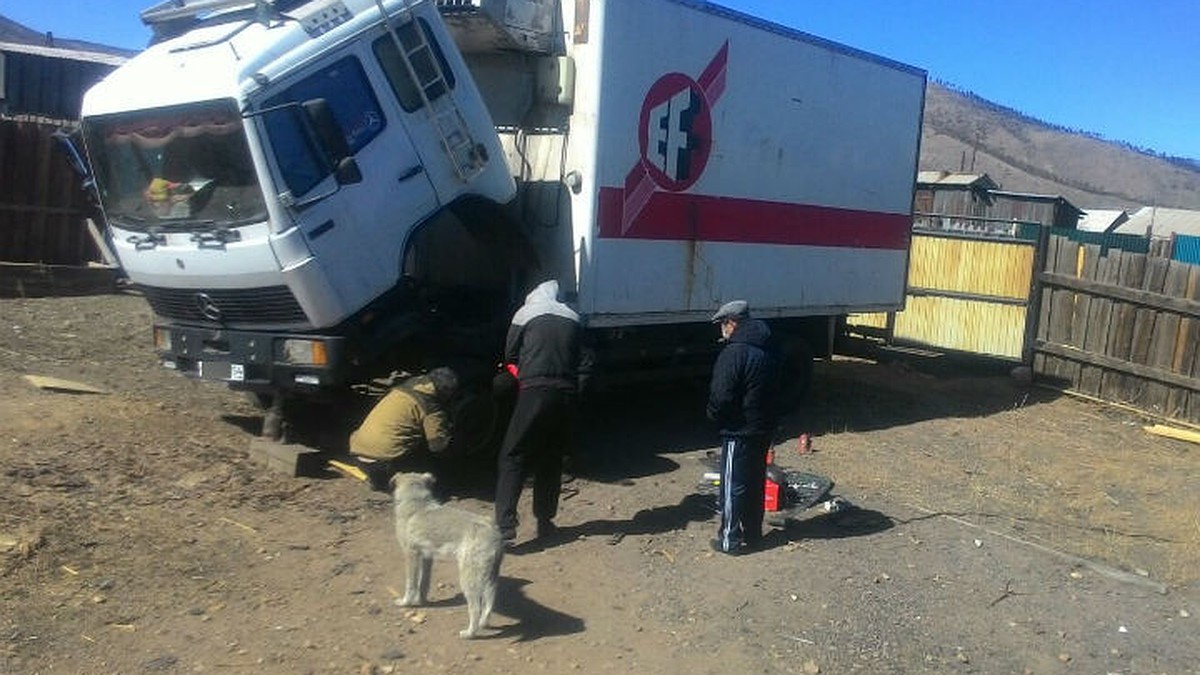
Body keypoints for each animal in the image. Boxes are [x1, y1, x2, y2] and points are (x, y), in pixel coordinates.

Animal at [391, 468, 504, 634]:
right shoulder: (427, 557)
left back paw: (470, 633)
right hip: (490, 578)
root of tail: (492, 530)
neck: (416, 502)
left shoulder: (411, 555)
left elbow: (410, 584)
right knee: (490, 601)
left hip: (468, 578)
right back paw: (484, 624)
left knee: (476, 608)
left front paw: (406, 602)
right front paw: (422, 600)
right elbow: (424, 582)